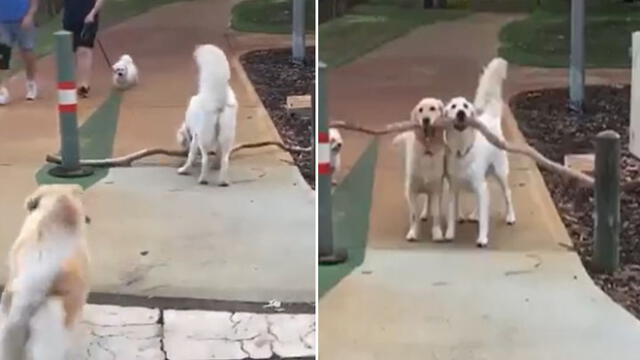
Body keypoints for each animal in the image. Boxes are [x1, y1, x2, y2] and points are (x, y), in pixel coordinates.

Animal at [176, 44, 236, 186]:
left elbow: (191, 155)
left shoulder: (195, 137)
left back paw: (202, 179)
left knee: (205, 159)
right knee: (225, 160)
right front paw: (216, 166)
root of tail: (217, 100)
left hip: (205, 137)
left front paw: (185, 168)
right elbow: (218, 155)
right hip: (227, 136)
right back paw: (223, 181)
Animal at [392, 97, 448, 242]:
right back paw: (424, 214)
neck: (427, 150)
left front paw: (437, 233)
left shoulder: (436, 187)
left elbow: (436, 213)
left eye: (433, 108)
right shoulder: (411, 190)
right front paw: (413, 232)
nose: (425, 120)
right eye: (420, 110)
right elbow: (413, 214)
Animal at [444, 57, 516, 248]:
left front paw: (482, 238)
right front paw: (449, 234)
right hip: (485, 177)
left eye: (465, 106)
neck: (462, 148)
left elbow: (484, 219)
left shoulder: (479, 185)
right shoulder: (453, 188)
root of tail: (490, 117)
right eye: (453, 106)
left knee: (507, 194)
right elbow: (451, 215)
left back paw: (511, 216)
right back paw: (475, 214)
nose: (461, 113)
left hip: (500, 172)